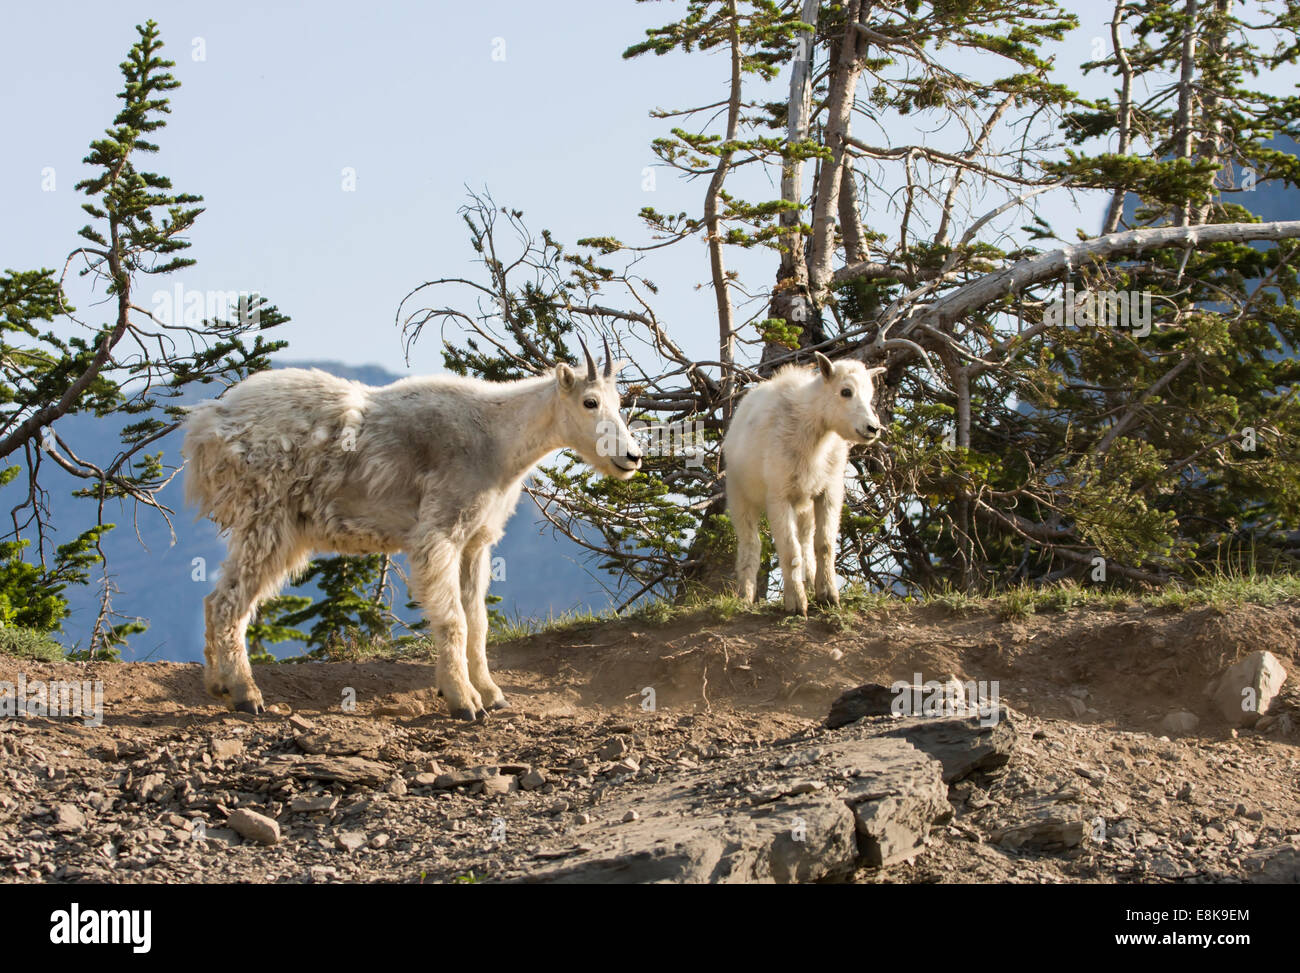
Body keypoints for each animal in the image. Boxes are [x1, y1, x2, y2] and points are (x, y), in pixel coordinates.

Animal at [184, 338, 644, 718]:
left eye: (619, 400)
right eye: (589, 402)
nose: (632, 457)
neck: (498, 442)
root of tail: (208, 425)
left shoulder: (475, 543)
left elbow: (477, 620)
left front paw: (492, 694)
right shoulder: (439, 534)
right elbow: (453, 619)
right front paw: (464, 701)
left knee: (214, 598)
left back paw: (218, 685)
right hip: (268, 518)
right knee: (229, 602)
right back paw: (246, 693)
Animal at [728, 353, 889, 616]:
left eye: (870, 393)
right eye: (845, 391)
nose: (872, 428)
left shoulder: (828, 491)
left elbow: (823, 544)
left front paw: (829, 596)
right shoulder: (778, 495)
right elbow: (789, 550)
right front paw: (796, 603)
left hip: (804, 504)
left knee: (806, 542)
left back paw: (811, 584)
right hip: (740, 496)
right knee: (751, 543)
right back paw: (745, 596)